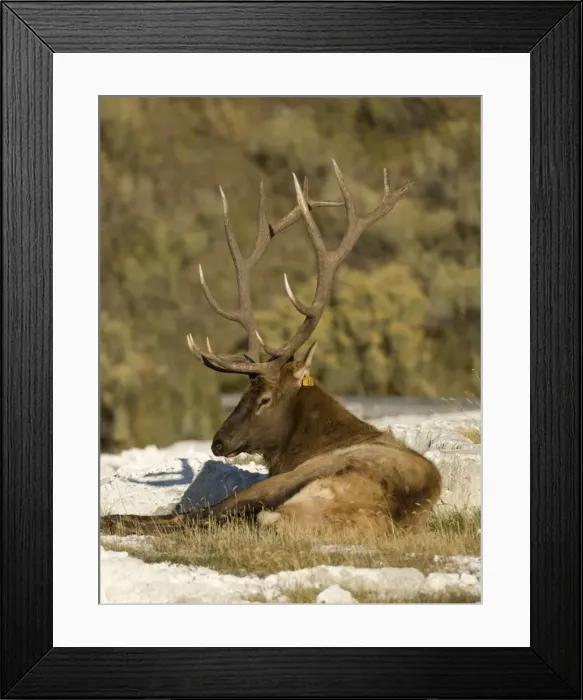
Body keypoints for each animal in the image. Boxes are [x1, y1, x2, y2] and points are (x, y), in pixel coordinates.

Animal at [101, 161, 441, 536]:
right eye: (242, 394)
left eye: (264, 399)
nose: (218, 441)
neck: (319, 439)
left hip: (285, 483)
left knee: (199, 516)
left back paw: (115, 519)